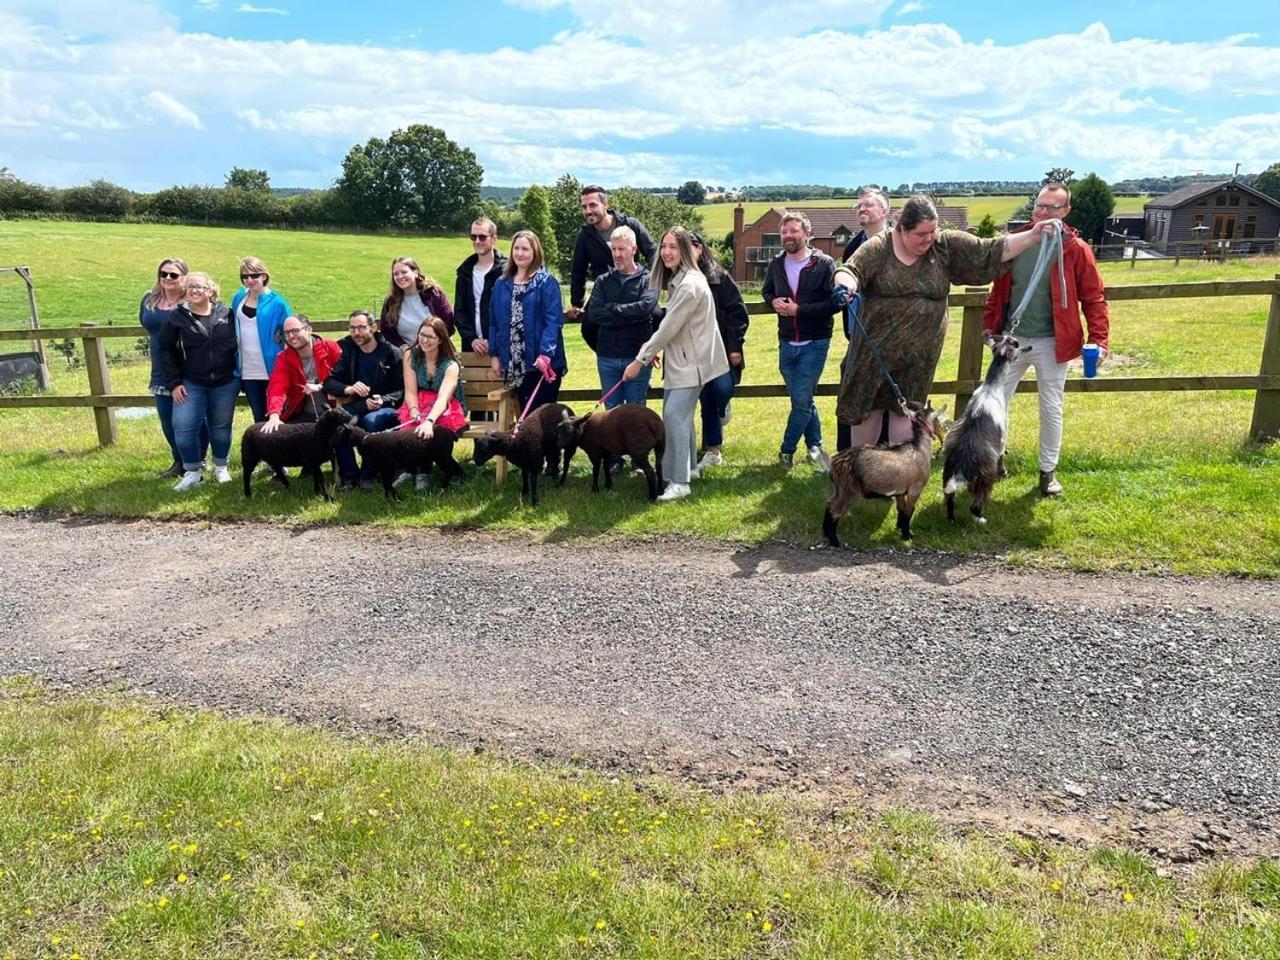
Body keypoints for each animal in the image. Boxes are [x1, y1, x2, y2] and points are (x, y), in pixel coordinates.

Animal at [824, 401, 947, 545]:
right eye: (937, 419)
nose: (942, 432)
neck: (919, 448)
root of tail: (835, 464)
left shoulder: (900, 490)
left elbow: (901, 509)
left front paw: (900, 529)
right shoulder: (915, 489)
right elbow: (909, 511)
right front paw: (907, 536)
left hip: (840, 489)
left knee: (829, 504)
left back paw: (825, 533)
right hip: (849, 490)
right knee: (835, 511)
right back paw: (834, 541)